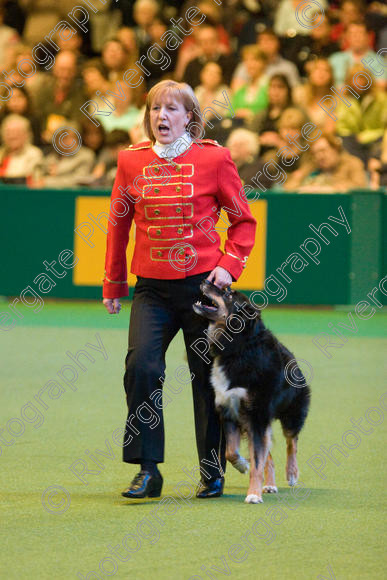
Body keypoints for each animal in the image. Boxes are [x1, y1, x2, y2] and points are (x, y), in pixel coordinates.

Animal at [194, 280, 312, 502]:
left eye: (229, 294)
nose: (205, 280)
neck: (238, 347)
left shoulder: (257, 415)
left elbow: (258, 460)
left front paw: (253, 495)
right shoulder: (229, 411)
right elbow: (232, 452)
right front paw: (242, 465)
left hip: (291, 414)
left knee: (292, 442)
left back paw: (291, 473)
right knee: (269, 454)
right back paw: (270, 484)